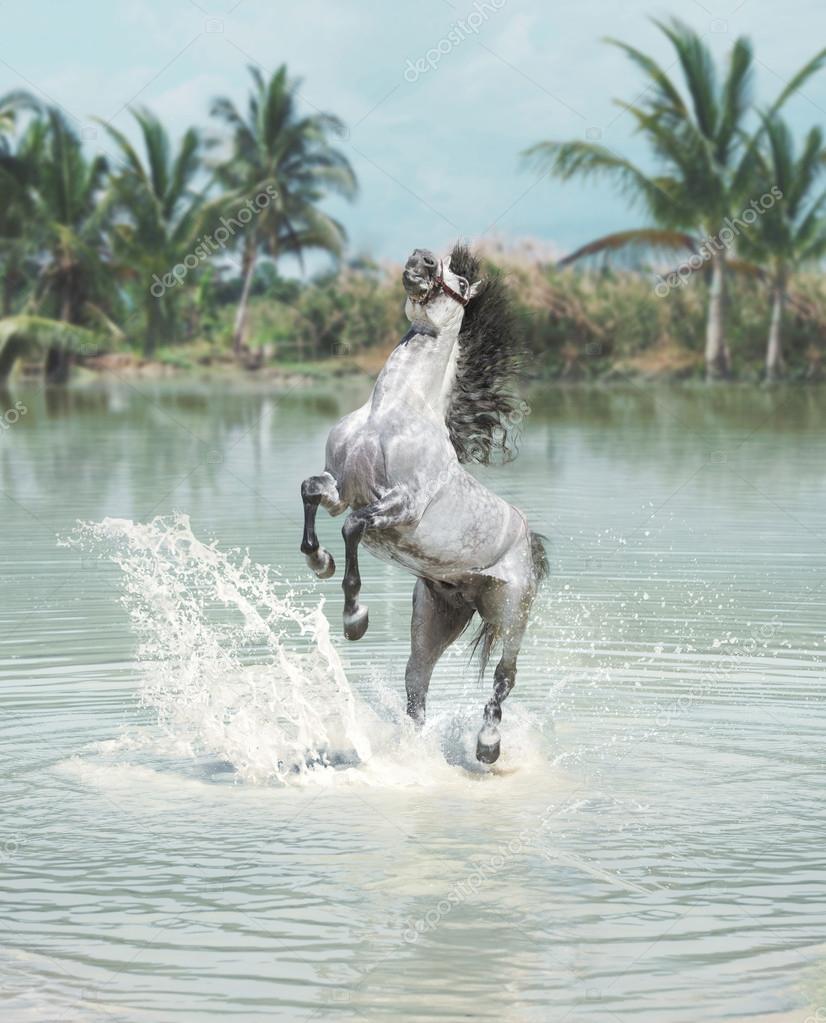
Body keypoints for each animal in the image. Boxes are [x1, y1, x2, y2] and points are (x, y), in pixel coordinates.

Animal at [299, 243, 548, 764]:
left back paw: (487, 747)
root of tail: (527, 534)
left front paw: (355, 618)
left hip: (513, 611)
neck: (390, 413)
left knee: (504, 676)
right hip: (435, 616)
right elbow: (311, 491)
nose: (422, 261)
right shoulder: (340, 487)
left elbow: (353, 527)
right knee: (418, 682)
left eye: (458, 279)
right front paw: (320, 562)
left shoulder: (401, 506)